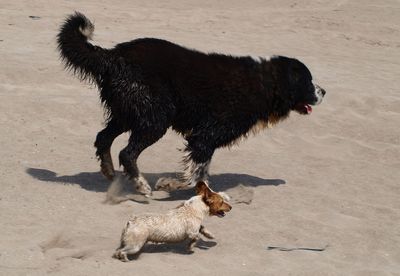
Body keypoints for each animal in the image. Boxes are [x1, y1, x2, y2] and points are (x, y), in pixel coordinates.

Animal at [57, 12, 324, 194]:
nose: (324, 91)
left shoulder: (204, 138)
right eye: (309, 81)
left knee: (103, 138)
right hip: (155, 118)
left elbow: (201, 173)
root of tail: (113, 55)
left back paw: (110, 173)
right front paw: (172, 185)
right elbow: (196, 175)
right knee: (127, 152)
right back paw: (141, 185)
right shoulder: (205, 136)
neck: (263, 82)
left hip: (129, 114)